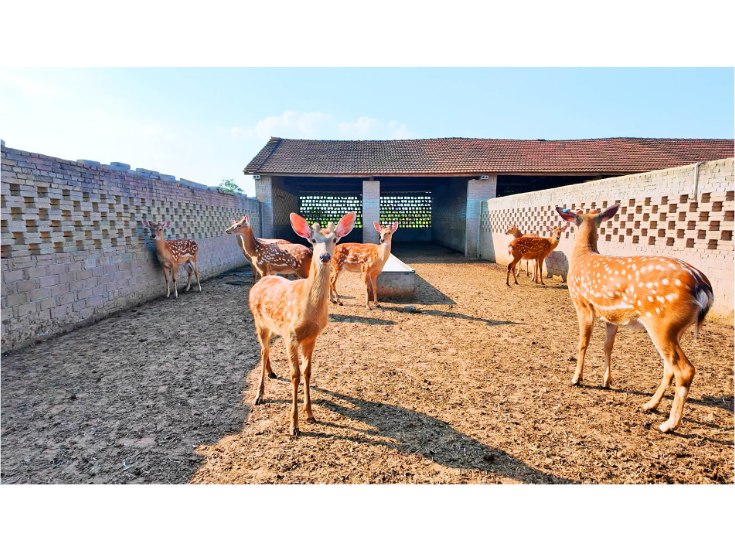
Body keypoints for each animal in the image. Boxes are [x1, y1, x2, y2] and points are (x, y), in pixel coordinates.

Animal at [250, 211, 356, 436]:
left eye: (335, 239)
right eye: (313, 240)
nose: (324, 257)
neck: (309, 311)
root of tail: (259, 283)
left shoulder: (311, 337)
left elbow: (307, 372)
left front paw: (310, 414)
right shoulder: (291, 335)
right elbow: (295, 375)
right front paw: (294, 425)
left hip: (274, 328)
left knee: (267, 351)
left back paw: (272, 373)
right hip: (259, 321)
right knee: (262, 352)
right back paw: (259, 395)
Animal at [556, 204, 714, 433]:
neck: (583, 255)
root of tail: (704, 288)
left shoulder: (582, 303)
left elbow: (583, 343)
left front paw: (577, 378)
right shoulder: (611, 317)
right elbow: (608, 346)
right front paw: (606, 381)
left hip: (661, 323)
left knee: (685, 369)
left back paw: (669, 424)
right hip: (675, 329)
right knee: (669, 367)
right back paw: (650, 405)